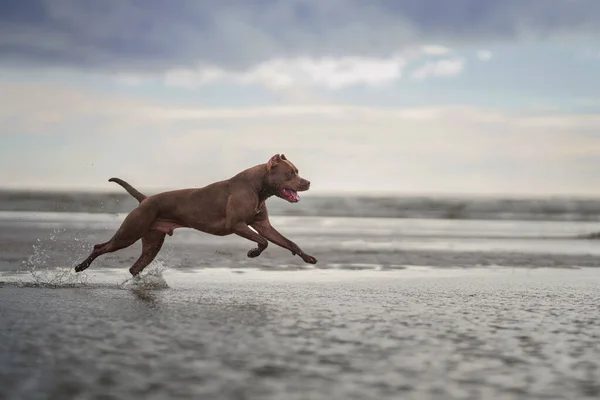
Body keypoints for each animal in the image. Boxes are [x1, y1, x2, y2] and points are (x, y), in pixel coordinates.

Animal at [72, 153, 316, 276]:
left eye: (297, 172)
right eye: (291, 173)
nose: (308, 182)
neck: (259, 186)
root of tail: (145, 199)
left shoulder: (263, 225)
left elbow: (287, 241)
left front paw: (307, 257)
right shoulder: (236, 225)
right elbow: (263, 242)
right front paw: (252, 253)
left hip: (152, 241)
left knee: (136, 266)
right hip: (129, 233)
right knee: (101, 247)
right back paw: (80, 267)